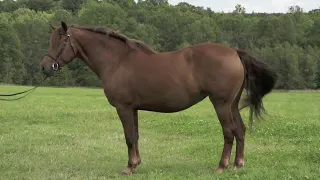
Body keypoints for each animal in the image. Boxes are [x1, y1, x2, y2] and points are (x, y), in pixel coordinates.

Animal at [40, 21, 278, 176]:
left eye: (59, 42)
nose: (44, 67)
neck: (118, 61)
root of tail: (234, 52)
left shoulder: (123, 108)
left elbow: (128, 137)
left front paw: (128, 167)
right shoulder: (133, 109)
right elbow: (135, 136)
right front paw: (136, 163)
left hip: (221, 104)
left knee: (229, 132)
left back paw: (222, 166)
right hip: (232, 105)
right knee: (240, 130)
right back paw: (238, 164)